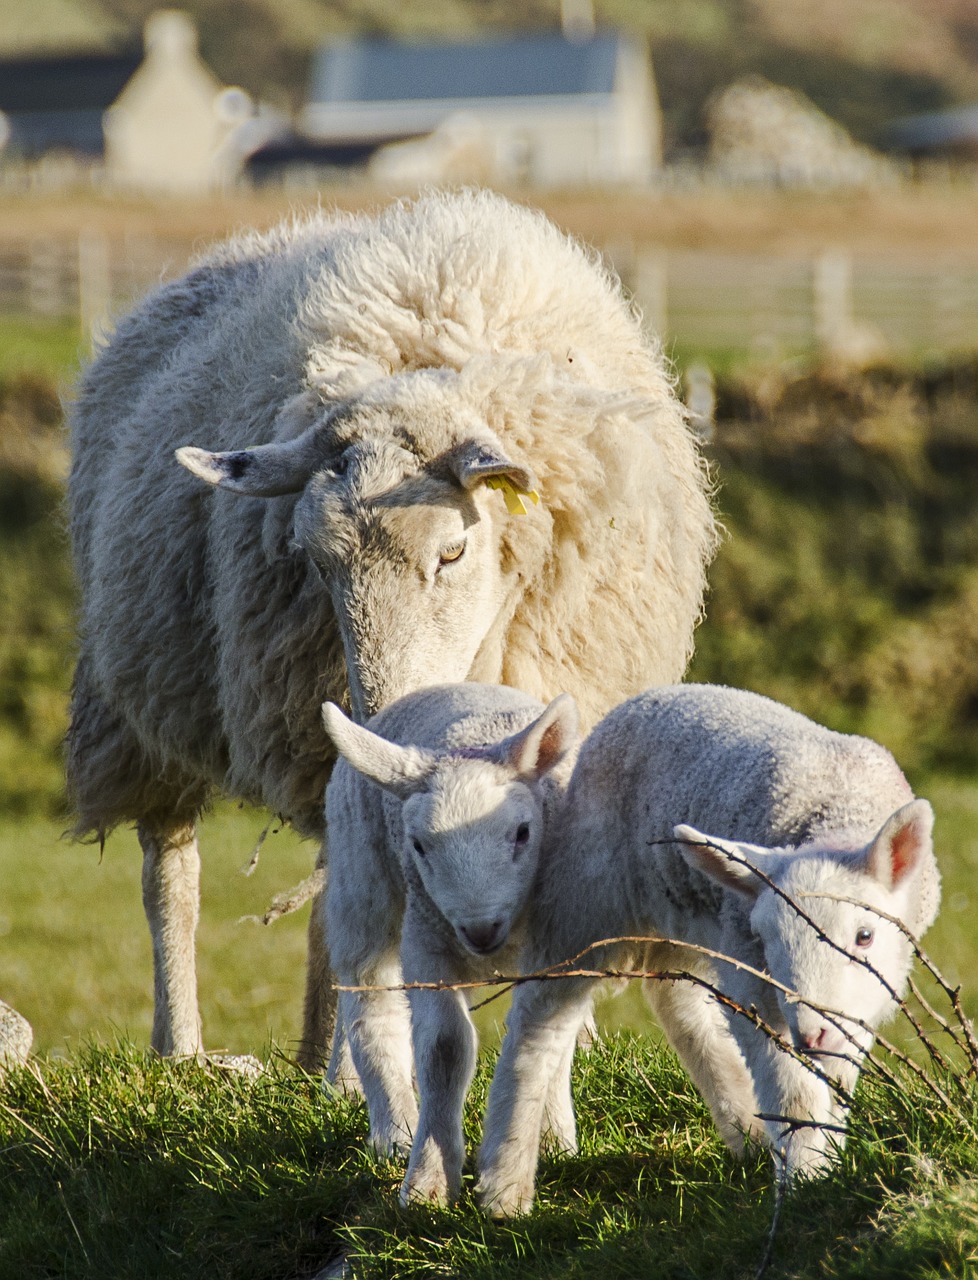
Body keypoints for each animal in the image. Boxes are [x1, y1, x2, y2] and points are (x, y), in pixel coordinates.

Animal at [64, 185, 716, 1064]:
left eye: (453, 550)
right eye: (311, 560)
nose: (381, 712)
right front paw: (356, 1065)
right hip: (139, 704)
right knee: (172, 872)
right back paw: (187, 1046)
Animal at [321, 686, 581, 1203]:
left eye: (523, 833)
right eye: (419, 845)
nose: (480, 929)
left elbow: (549, 1034)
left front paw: (549, 1137)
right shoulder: (427, 944)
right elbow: (444, 1048)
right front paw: (428, 1182)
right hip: (361, 880)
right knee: (368, 999)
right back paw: (395, 1132)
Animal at [473, 686, 942, 1213]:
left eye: (865, 936)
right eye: (766, 939)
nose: (810, 1034)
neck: (831, 819)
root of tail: (646, 698)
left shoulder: (860, 998)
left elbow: (838, 1079)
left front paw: (828, 1157)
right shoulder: (754, 976)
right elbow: (794, 1092)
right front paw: (807, 1180)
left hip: (684, 913)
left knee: (677, 1003)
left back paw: (747, 1132)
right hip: (583, 895)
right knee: (539, 1023)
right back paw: (504, 1186)